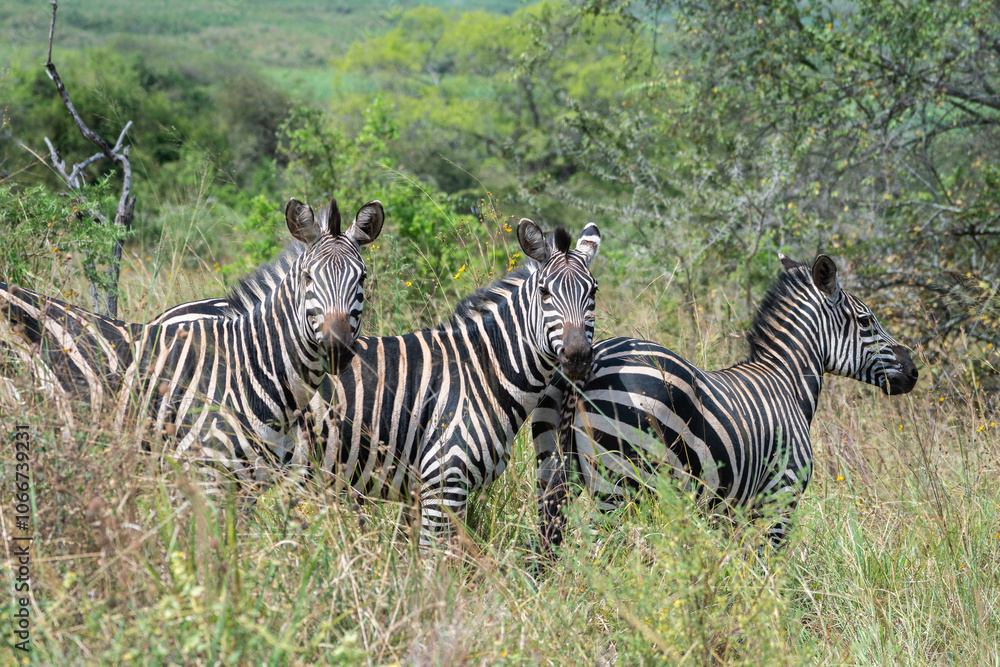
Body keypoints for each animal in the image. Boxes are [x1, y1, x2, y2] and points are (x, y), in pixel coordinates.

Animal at [292, 220, 602, 546]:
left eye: (593, 291)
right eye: (544, 292)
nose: (578, 357)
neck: (481, 370)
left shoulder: (418, 492)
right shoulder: (443, 482)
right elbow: (435, 557)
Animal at [531, 253, 919, 555]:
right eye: (866, 321)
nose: (913, 371)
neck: (788, 382)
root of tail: (589, 363)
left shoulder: (732, 511)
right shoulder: (781, 495)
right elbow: (767, 573)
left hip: (555, 470)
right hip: (619, 484)